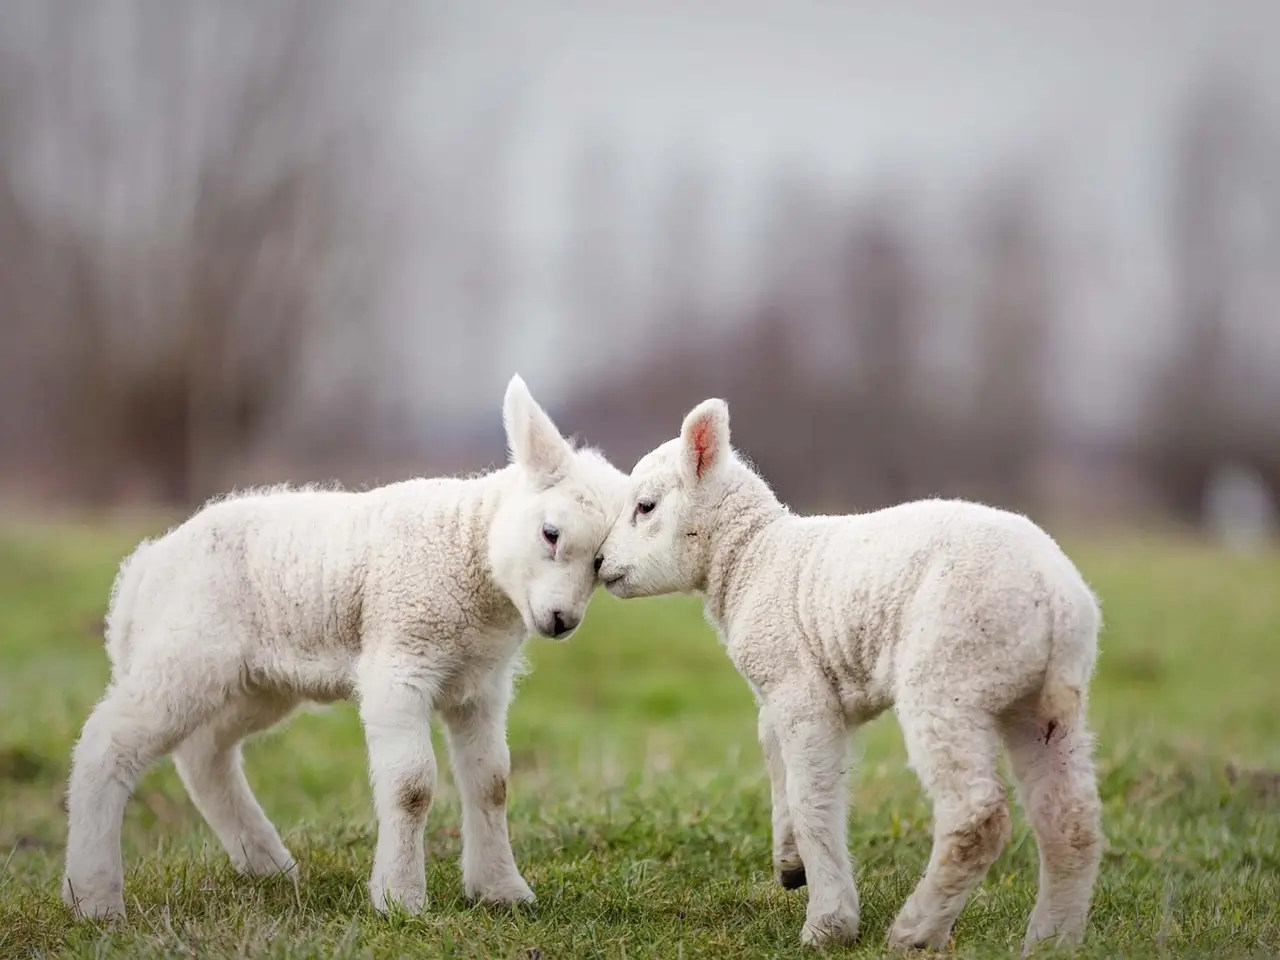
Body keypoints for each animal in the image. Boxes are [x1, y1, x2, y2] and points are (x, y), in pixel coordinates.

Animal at [62, 374, 628, 923]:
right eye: (550, 534)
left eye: (600, 565)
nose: (561, 621)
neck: (468, 548)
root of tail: (143, 569)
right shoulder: (400, 661)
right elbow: (411, 786)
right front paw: (400, 899)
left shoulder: (480, 685)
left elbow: (492, 782)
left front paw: (501, 891)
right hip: (185, 651)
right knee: (108, 742)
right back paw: (94, 899)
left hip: (256, 683)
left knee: (205, 754)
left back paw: (269, 866)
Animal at [597, 398, 1104, 954]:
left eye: (645, 507)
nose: (598, 562)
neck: (752, 558)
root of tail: (1055, 594)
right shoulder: (790, 689)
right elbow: (775, 759)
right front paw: (789, 862)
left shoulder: (799, 688)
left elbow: (812, 798)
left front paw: (828, 924)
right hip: (1037, 701)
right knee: (1070, 819)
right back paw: (1052, 939)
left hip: (949, 675)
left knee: (977, 817)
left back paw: (914, 933)